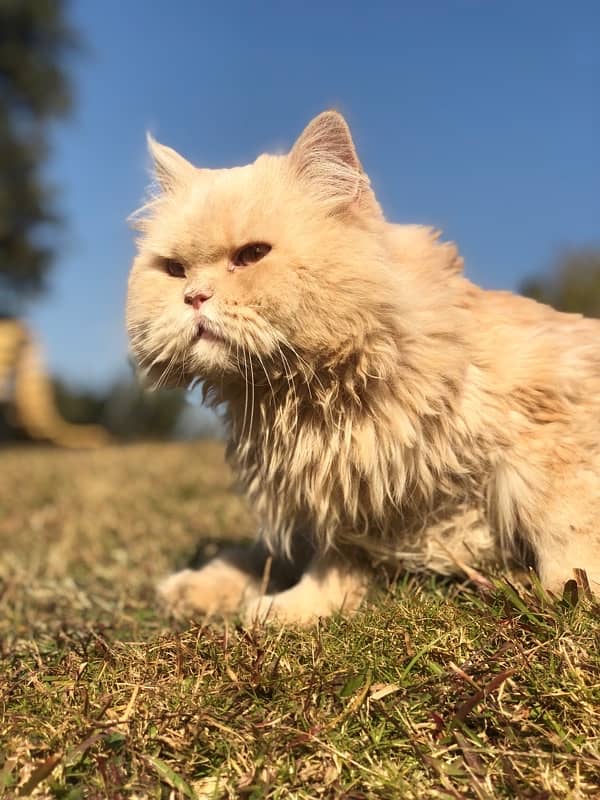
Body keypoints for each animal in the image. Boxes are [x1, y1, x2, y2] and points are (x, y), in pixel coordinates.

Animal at [126, 111, 600, 624]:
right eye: (174, 270)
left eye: (252, 255)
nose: (194, 297)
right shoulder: (341, 502)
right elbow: (321, 565)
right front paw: (283, 607)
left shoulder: (553, 434)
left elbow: (565, 530)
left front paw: (570, 594)